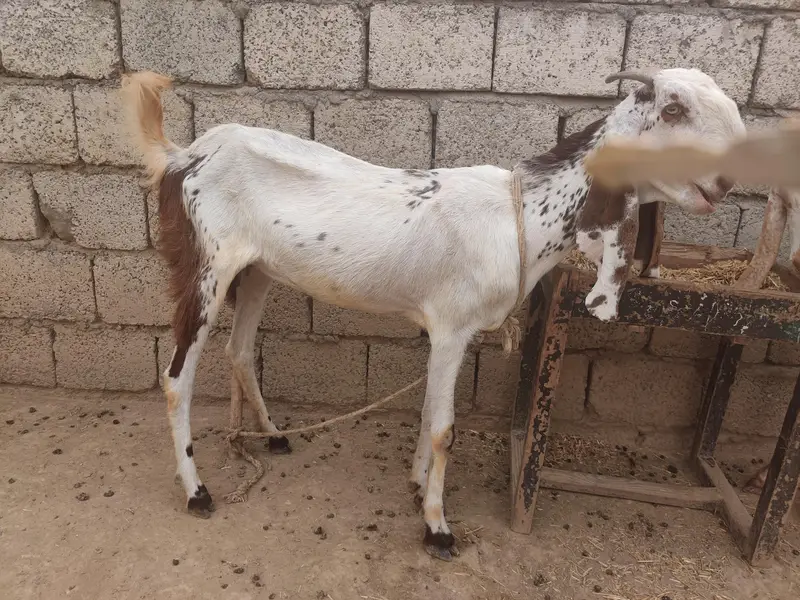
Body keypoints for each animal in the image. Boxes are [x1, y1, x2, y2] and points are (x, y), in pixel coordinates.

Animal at [121, 67, 743, 561]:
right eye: (672, 108)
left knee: (240, 351)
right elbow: (444, 427)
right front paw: (438, 528)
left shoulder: (444, 333)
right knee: (176, 377)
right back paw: (197, 491)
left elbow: (425, 414)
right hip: (205, 267)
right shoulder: (450, 326)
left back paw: (270, 437)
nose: (725, 180)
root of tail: (182, 156)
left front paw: (418, 487)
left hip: (256, 272)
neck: (521, 217)